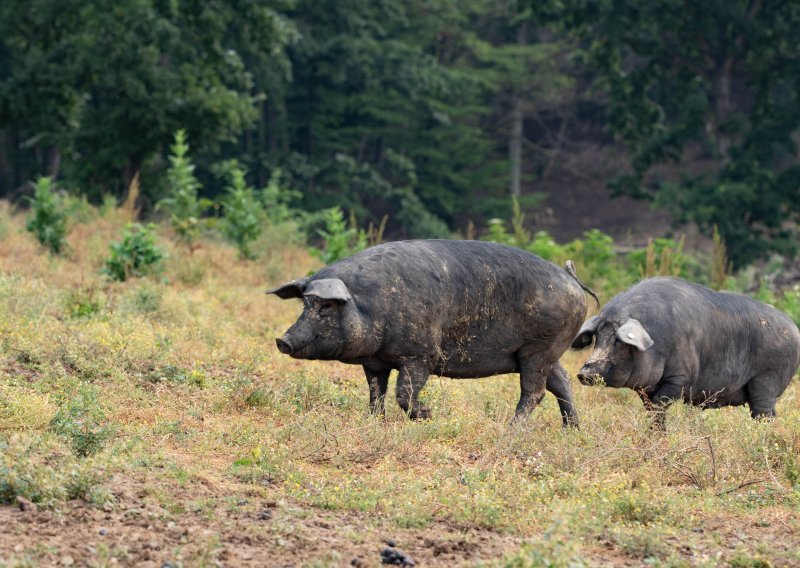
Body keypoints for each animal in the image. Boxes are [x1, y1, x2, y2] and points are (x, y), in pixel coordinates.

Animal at [572, 276, 800, 426]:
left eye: (618, 341)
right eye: (597, 337)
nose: (584, 373)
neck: (658, 341)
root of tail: (794, 329)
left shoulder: (680, 378)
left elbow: (660, 404)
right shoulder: (645, 388)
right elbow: (652, 410)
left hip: (767, 378)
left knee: (764, 412)